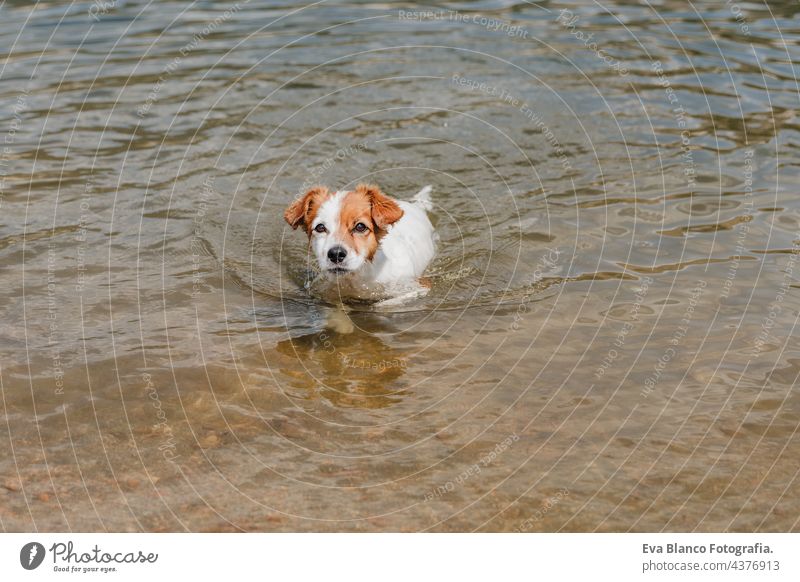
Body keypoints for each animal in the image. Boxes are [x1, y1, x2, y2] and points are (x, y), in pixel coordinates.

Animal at [284, 184, 434, 304]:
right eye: (320, 227)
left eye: (360, 227)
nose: (336, 254)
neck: (358, 277)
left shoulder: (417, 288)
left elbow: (381, 305)